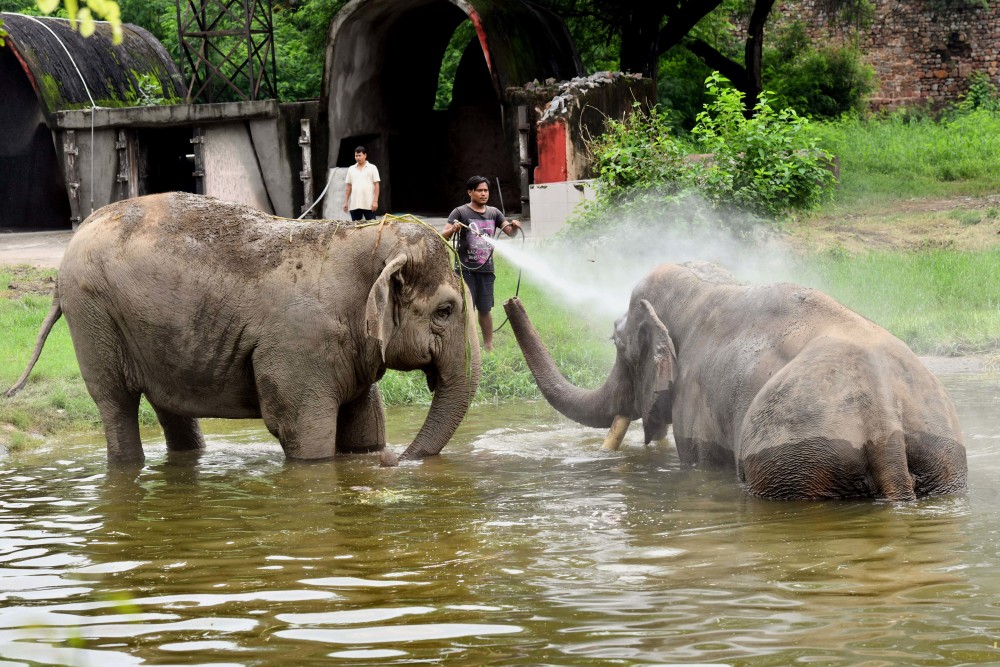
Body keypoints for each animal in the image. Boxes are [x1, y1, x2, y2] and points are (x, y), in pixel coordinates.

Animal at [7, 193, 482, 464]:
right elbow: (303, 434)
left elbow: (365, 426)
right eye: (444, 310)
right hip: (93, 316)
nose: (399, 462)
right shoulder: (298, 347)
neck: (364, 239)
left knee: (170, 406)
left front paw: (370, 458)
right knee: (116, 403)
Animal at [508, 260, 968, 500]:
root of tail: (885, 423)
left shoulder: (696, 408)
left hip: (795, 462)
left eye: (617, 342)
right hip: (941, 457)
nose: (512, 301)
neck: (705, 286)